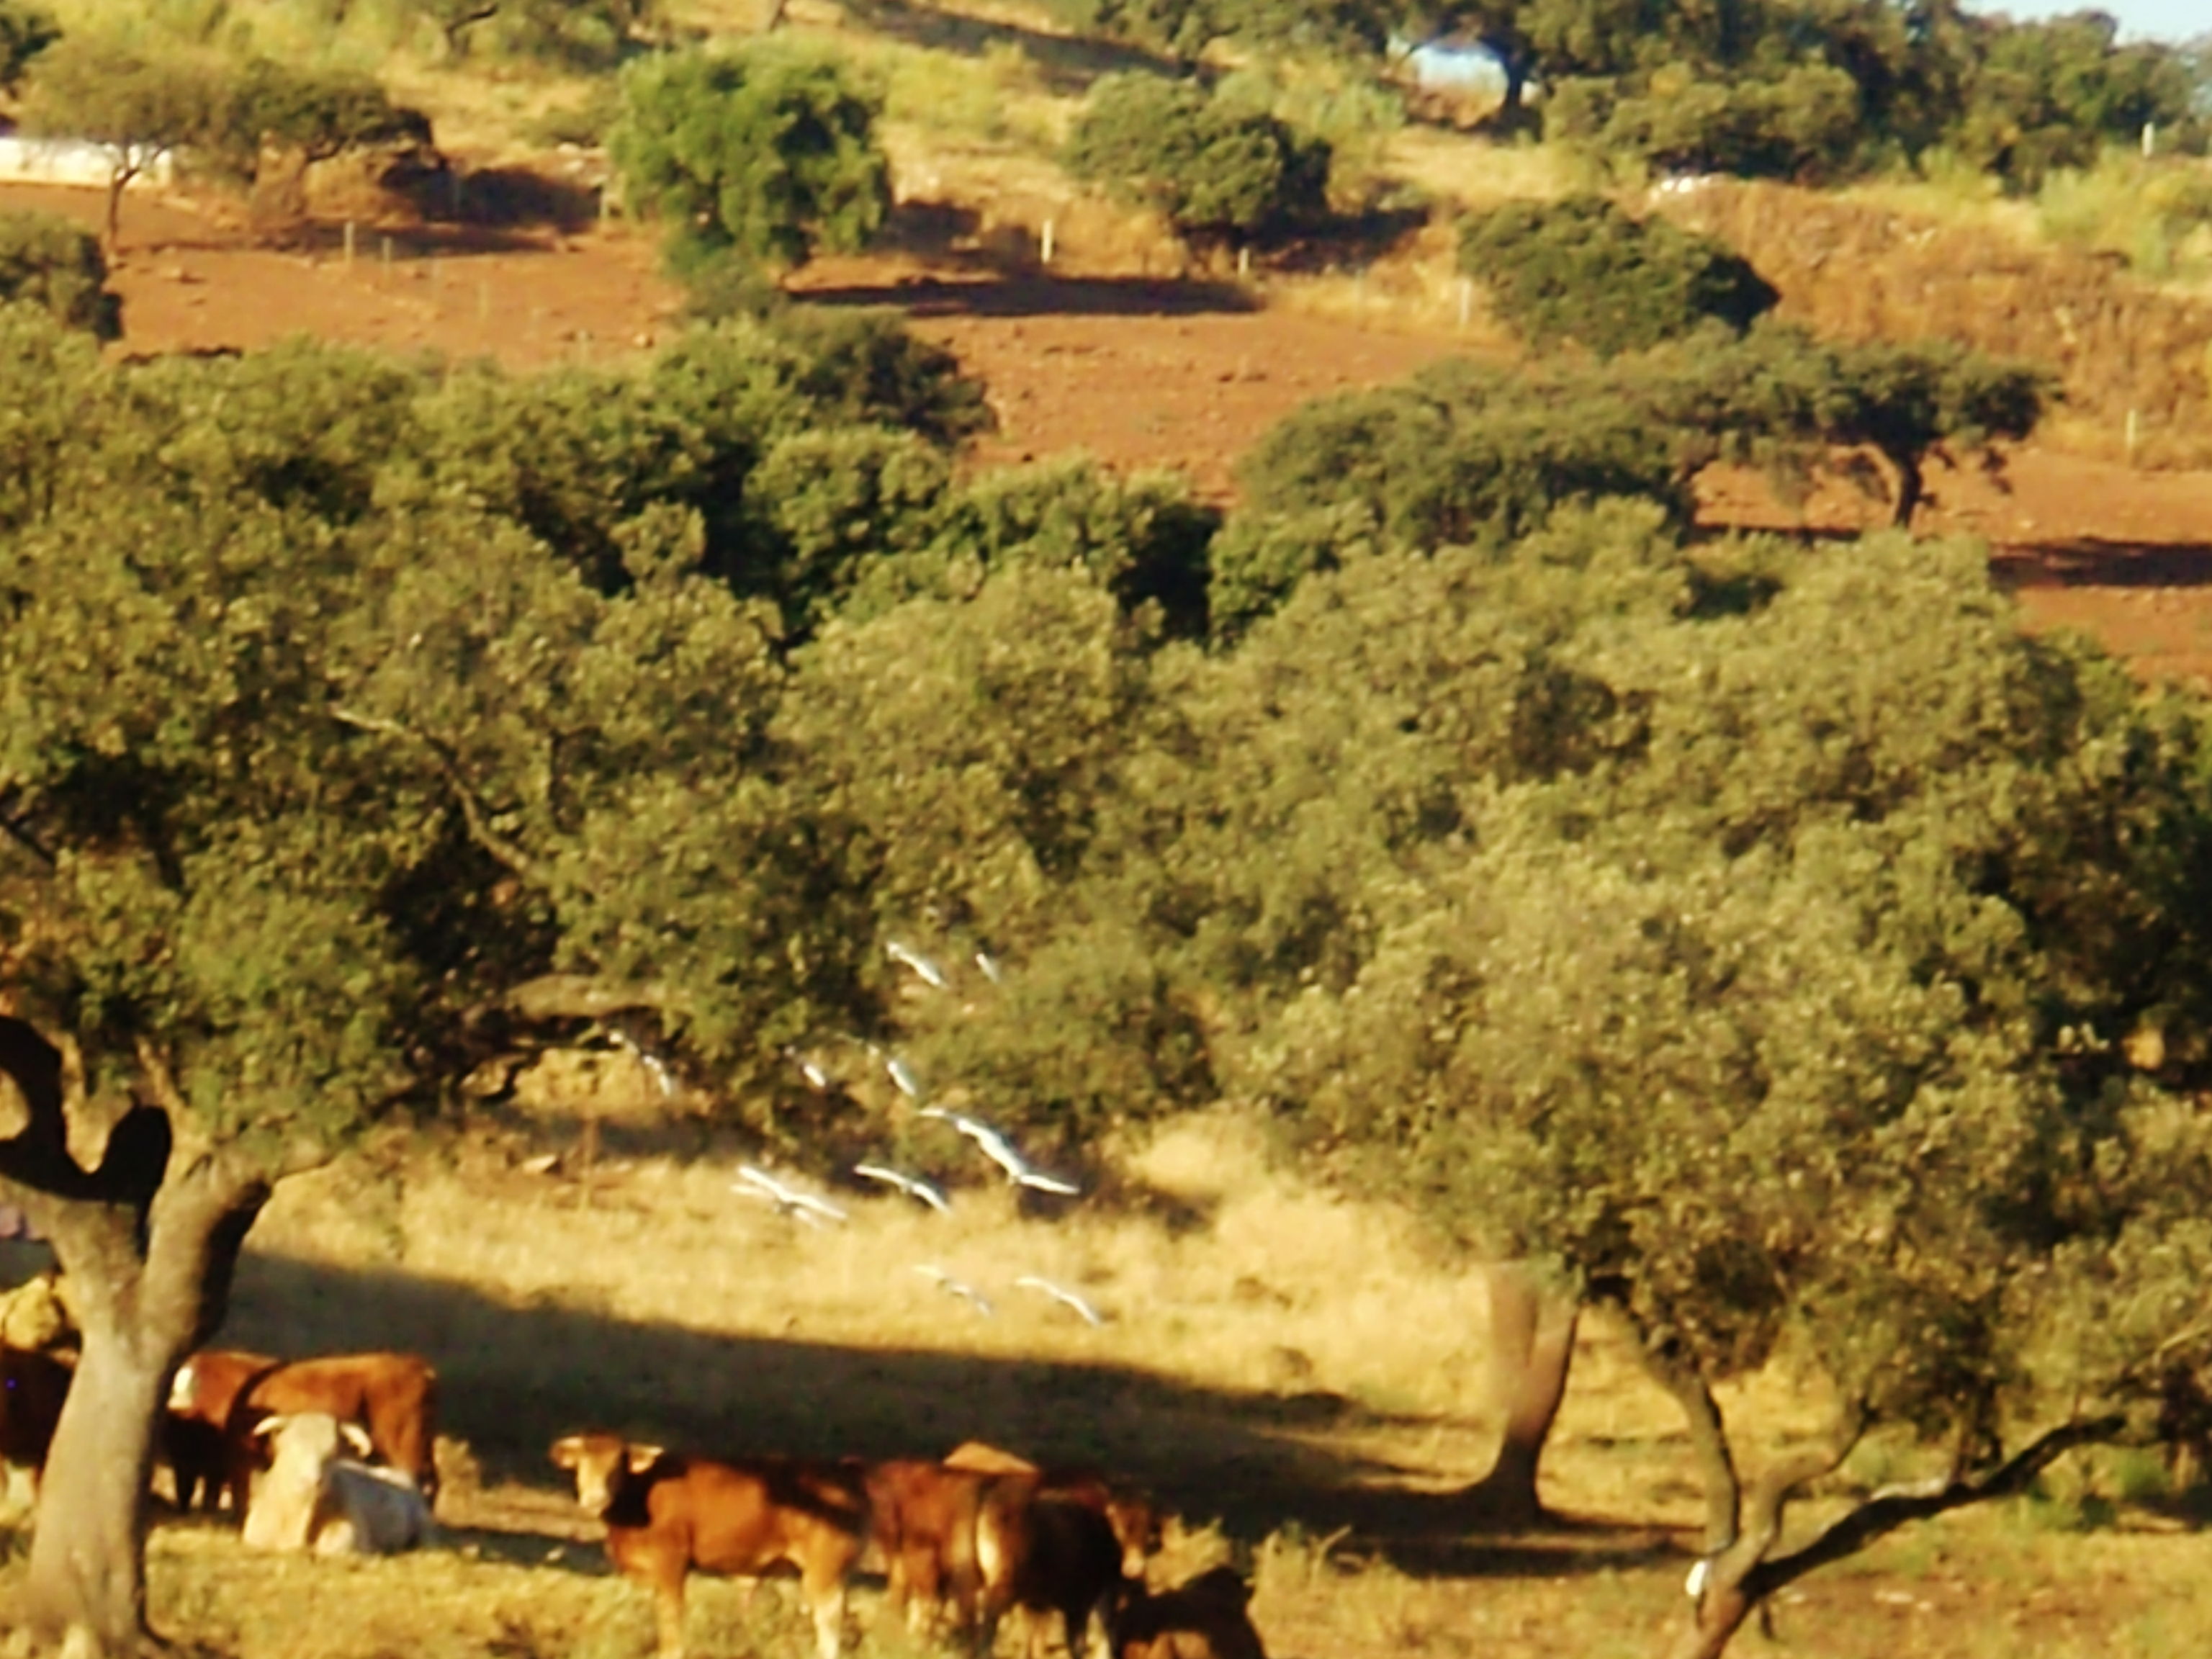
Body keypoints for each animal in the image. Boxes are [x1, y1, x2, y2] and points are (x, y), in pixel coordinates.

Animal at [548, 1433, 867, 1659]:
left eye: (617, 1467)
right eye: (581, 1465)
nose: (595, 1498)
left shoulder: (671, 1564)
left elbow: (670, 1618)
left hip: (823, 1569)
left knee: (829, 1616)